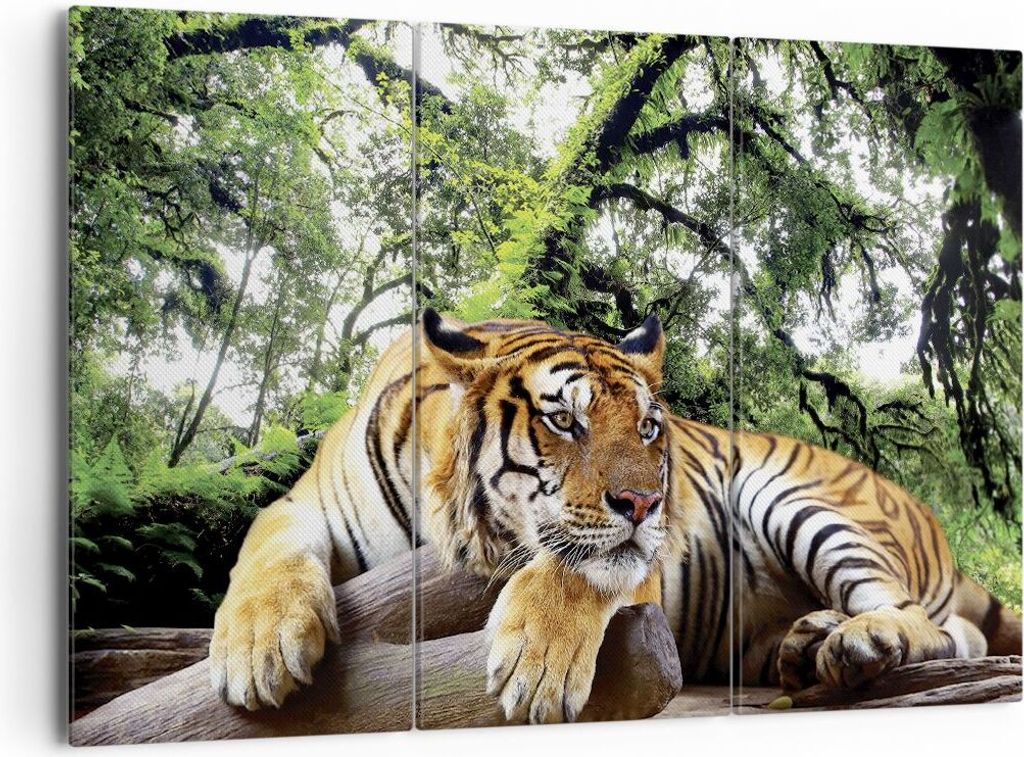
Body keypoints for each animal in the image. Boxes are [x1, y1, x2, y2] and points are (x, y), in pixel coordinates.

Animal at [209, 309, 1021, 721]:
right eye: (564, 421)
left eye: (649, 427)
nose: (647, 501)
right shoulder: (302, 502)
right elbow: (266, 545)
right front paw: (258, 648)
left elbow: (581, 567)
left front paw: (535, 665)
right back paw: (809, 641)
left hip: (797, 498)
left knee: (937, 626)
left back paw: (860, 640)